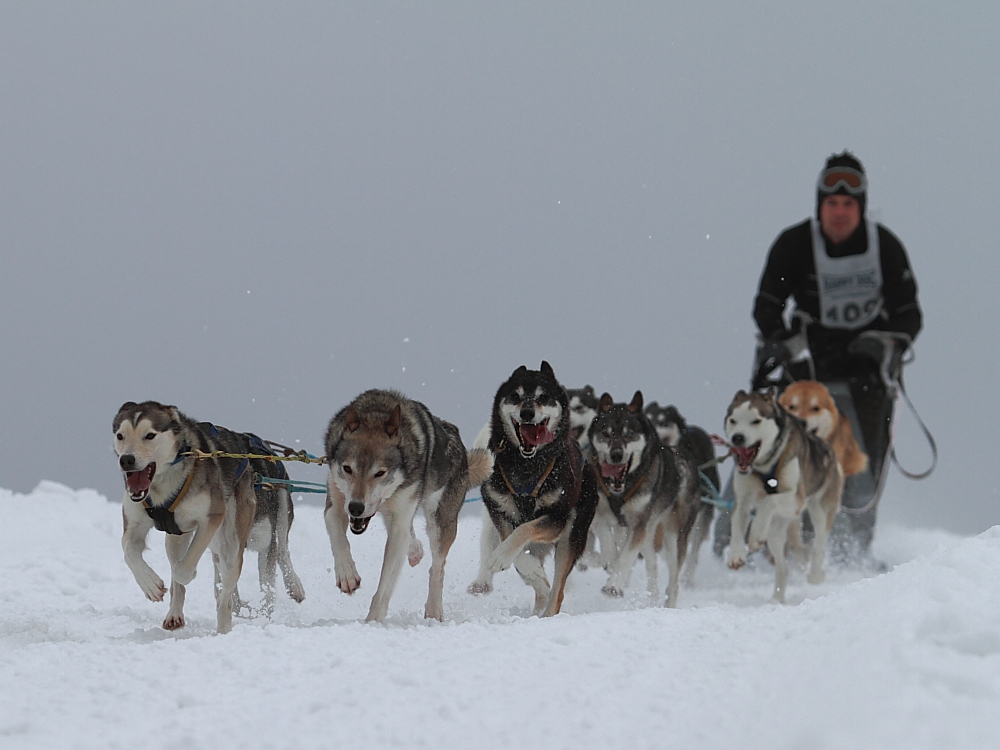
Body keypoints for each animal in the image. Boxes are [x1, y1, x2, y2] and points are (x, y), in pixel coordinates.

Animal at [113, 400, 258, 636]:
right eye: (120, 435)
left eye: (150, 435)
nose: (126, 459)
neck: (161, 487)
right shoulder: (134, 525)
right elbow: (129, 552)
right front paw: (150, 584)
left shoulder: (211, 518)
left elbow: (181, 571)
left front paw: (187, 574)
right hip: (175, 537)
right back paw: (174, 615)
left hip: (231, 544)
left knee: (225, 594)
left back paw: (223, 629)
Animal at [324, 390, 492, 624]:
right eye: (347, 468)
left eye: (380, 473)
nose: (356, 507)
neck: (376, 413)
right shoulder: (335, 502)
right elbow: (338, 537)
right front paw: (347, 574)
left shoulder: (399, 523)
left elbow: (385, 585)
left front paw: (373, 622)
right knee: (412, 538)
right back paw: (415, 552)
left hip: (440, 521)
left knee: (437, 569)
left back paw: (434, 611)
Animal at [472, 362, 596, 616]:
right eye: (515, 396)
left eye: (543, 397)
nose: (527, 413)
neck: (526, 464)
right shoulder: (498, 509)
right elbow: (514, 545)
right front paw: (530, 569)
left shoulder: (556, 517)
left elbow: (524, 530)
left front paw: (503, 557)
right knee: (542, 587)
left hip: (571, 535)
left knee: (557, 591)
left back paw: (547, 614)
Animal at [588, 390, 700, 608]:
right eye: (605, 433)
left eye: (629, 433)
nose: (616, 455)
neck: (621, 490)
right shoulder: (599, 514)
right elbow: (608, 541)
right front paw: (610, 562)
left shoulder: (638, 525)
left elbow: (626, 557)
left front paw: (613, 586)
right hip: (649, 534)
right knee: (652, 565)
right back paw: (652, 596)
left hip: (673, 536)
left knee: (673, 583)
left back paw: (668, 605)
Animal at [720, 390, 844, 604]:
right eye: (733, 420)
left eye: (756, 420)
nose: (737, 438)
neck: (764, 465)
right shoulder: (743, 499)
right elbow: (737, 522)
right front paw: (736, 554)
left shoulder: (796, 498)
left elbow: (768, 501)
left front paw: (755, 535)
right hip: (777, 531)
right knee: (783, 568)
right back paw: (777, 599)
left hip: (820, 509)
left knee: (819, 544)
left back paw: (815, 574)